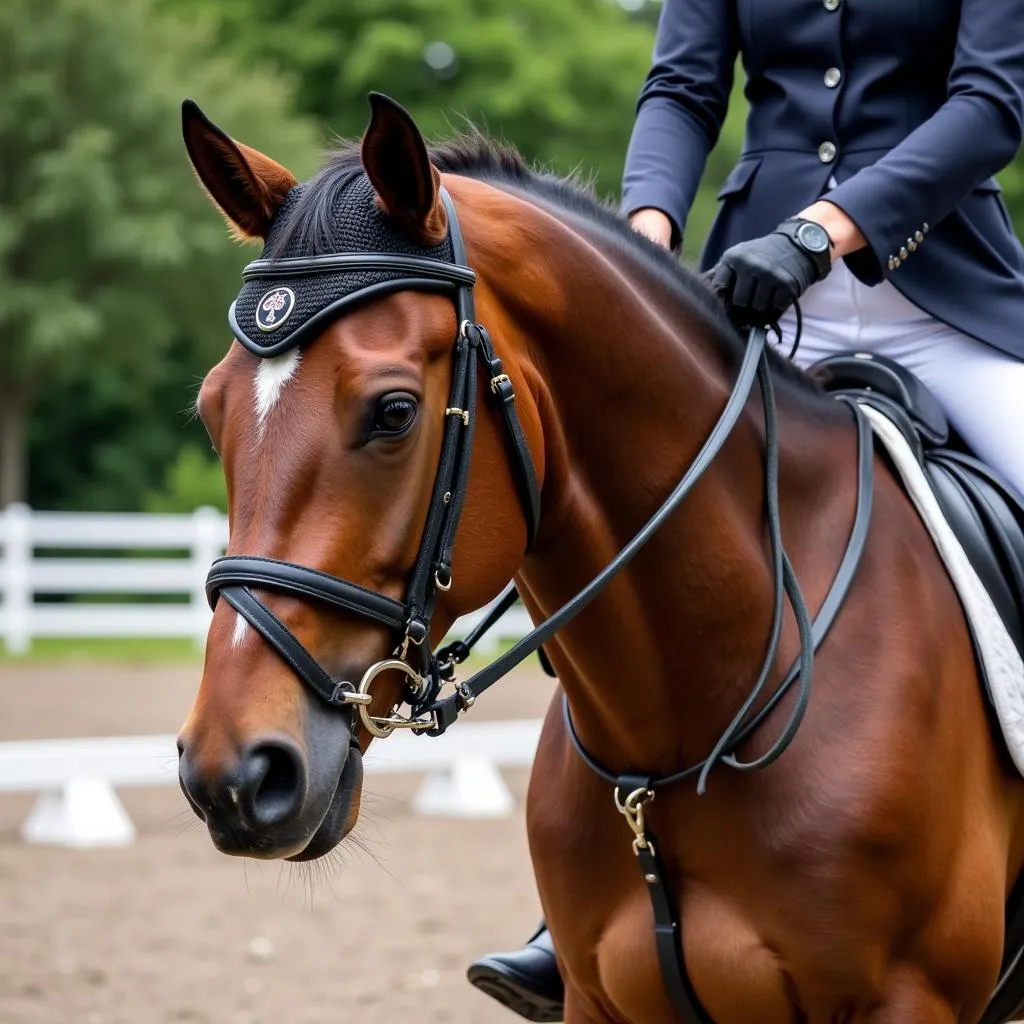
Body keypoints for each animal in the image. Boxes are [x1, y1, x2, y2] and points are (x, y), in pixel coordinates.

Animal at [176, 92, 1024, 1019]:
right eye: (213, 411)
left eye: (394, 411)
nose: (234, 774)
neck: (680, 739)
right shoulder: (598, 998)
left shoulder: (910, 999)